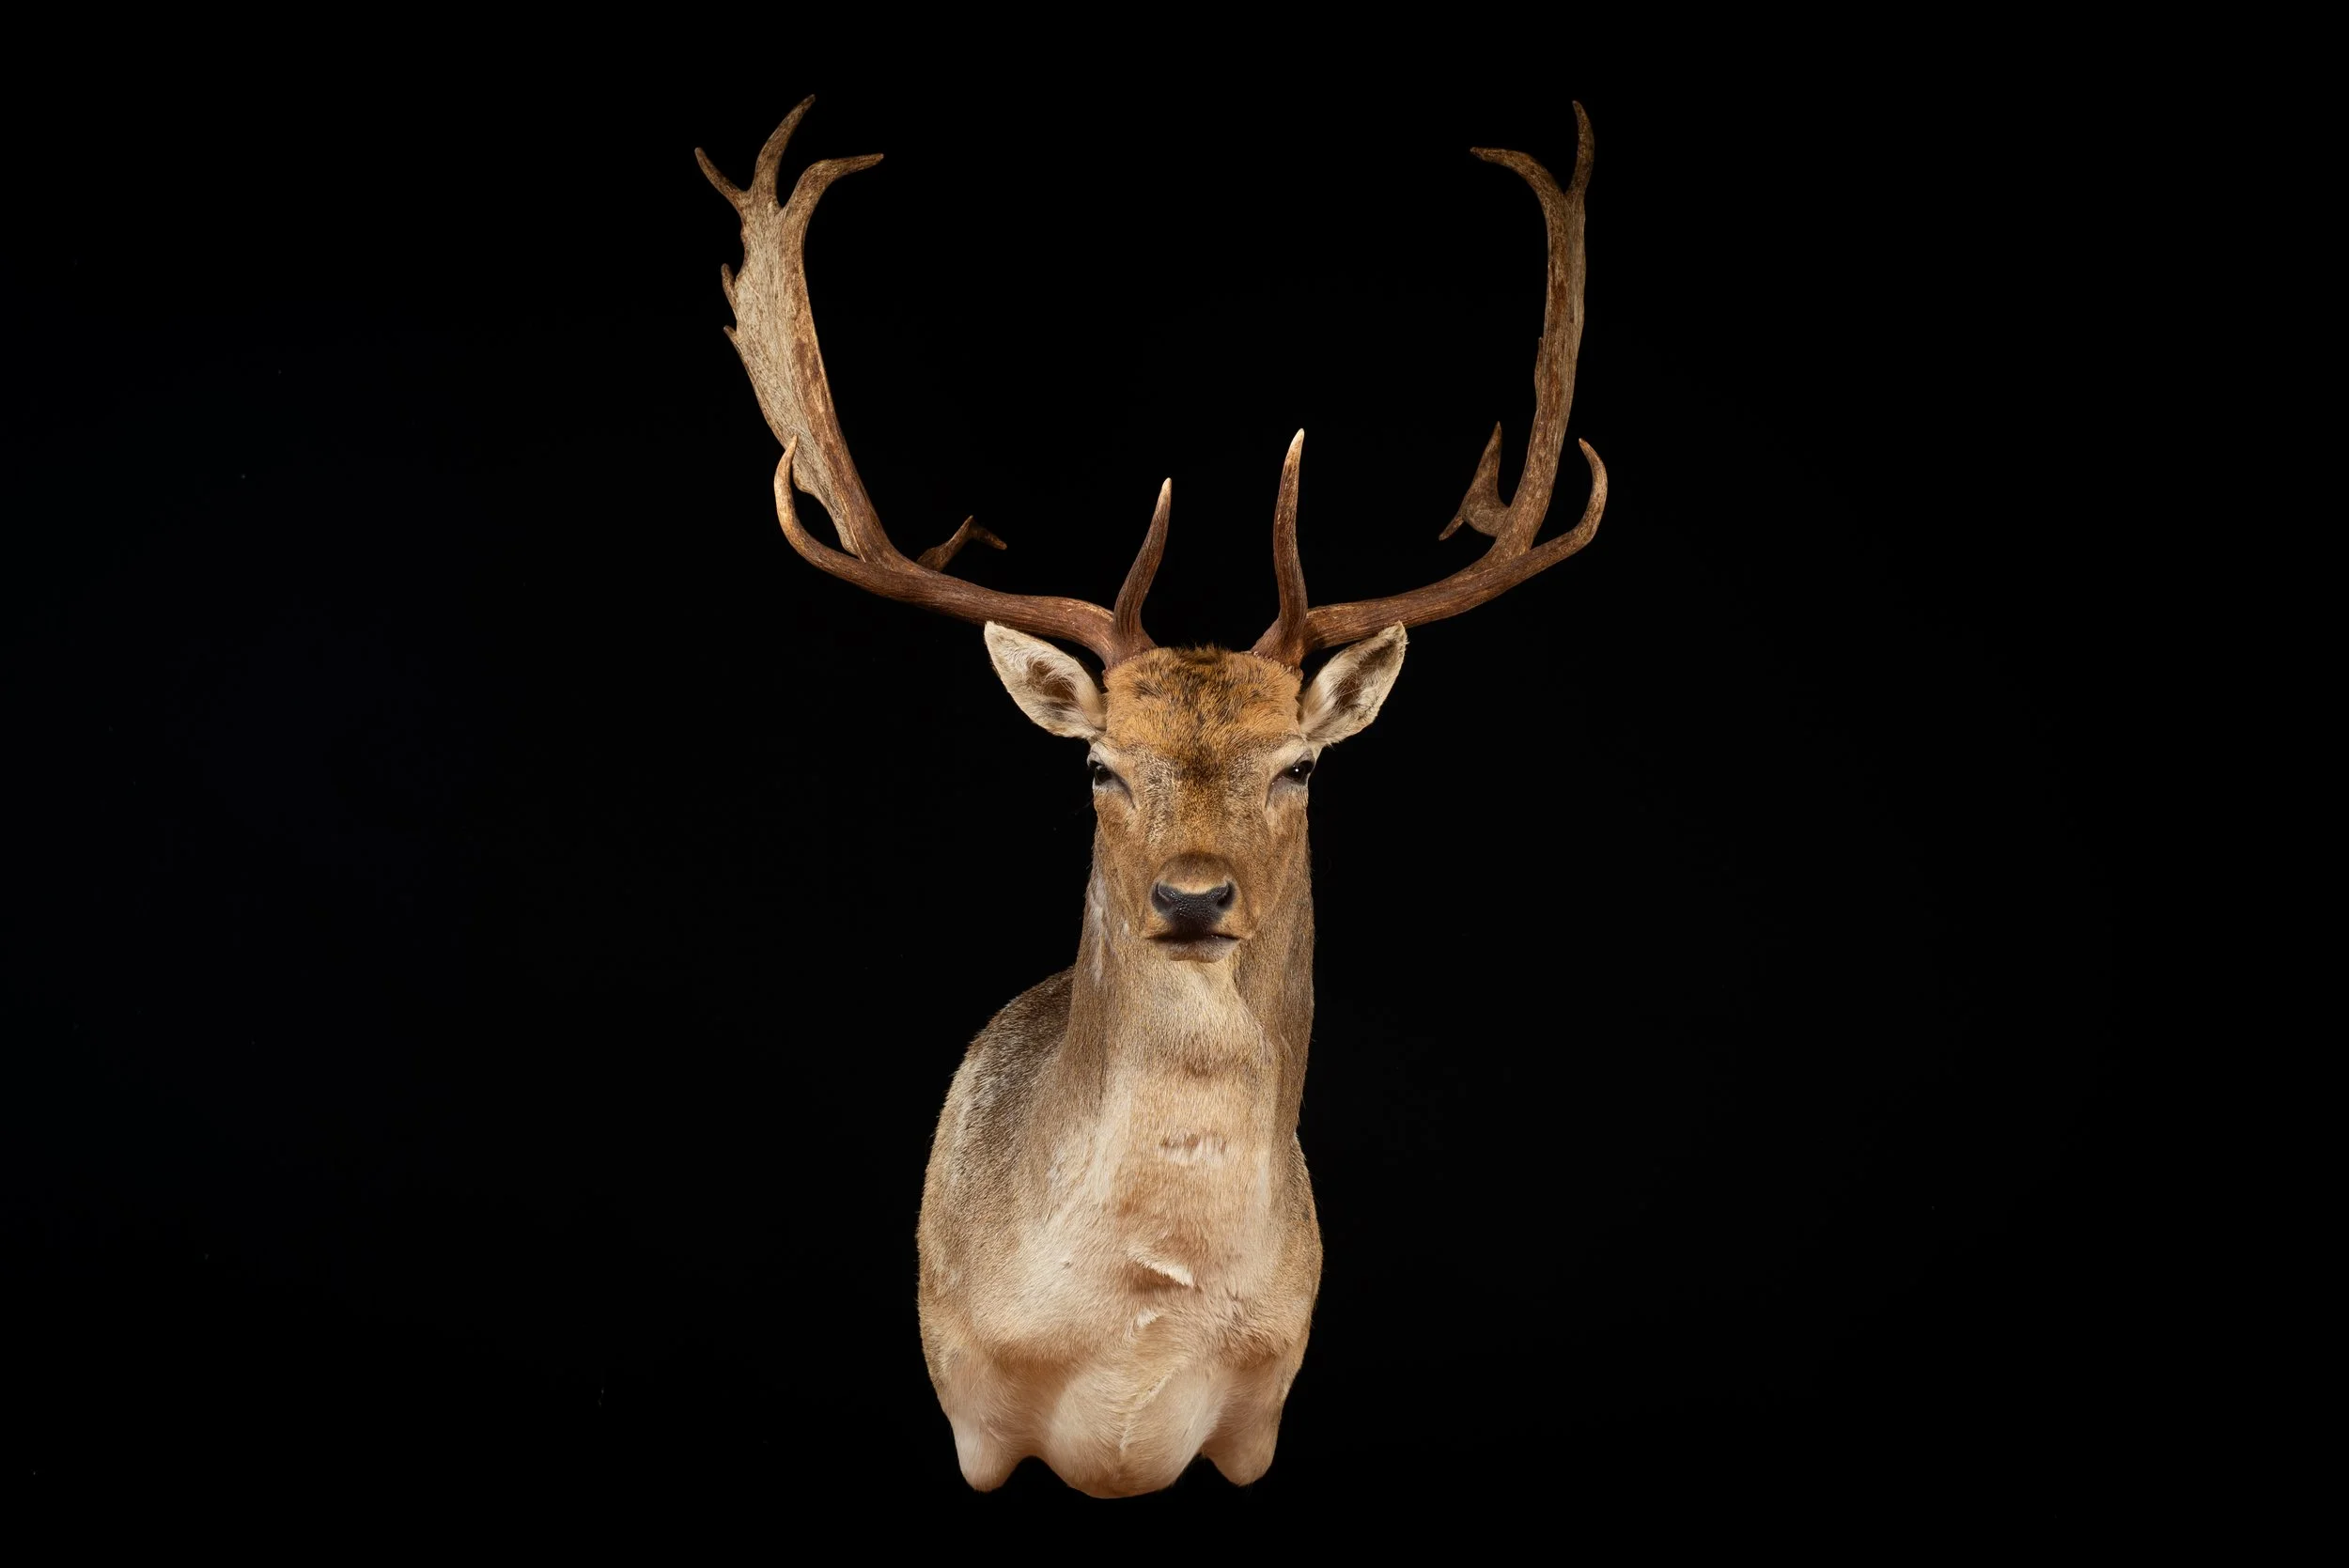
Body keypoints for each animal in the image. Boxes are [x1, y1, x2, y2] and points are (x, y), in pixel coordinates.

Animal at [698, 97, 1605, 1497]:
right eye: (1099, 765)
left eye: (1298, 764)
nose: (1191, 894)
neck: (1137, 1321)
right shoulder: (969, 1410)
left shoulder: (1259, 1417)